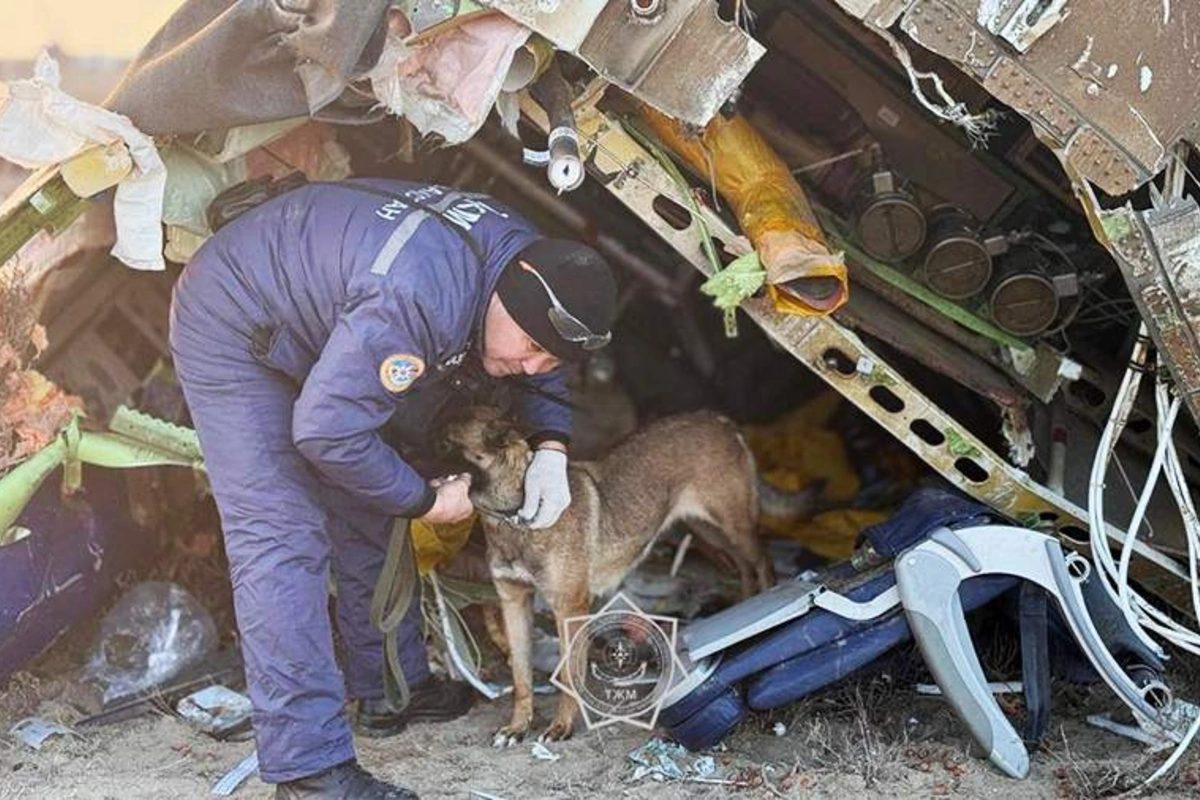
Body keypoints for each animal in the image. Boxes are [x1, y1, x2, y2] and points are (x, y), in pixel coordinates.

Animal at [444, 410, 777, 748]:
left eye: (444, 441)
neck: (515, 517)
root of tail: (718, 419)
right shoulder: (514, 603)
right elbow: (522, 677)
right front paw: (517, 727)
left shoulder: (569, 607)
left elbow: (569, 674)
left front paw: (562, 727)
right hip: (708, 530)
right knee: (742, 567)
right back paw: (746, 603)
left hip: (733, 527)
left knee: (763, 561)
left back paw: (766, 604)